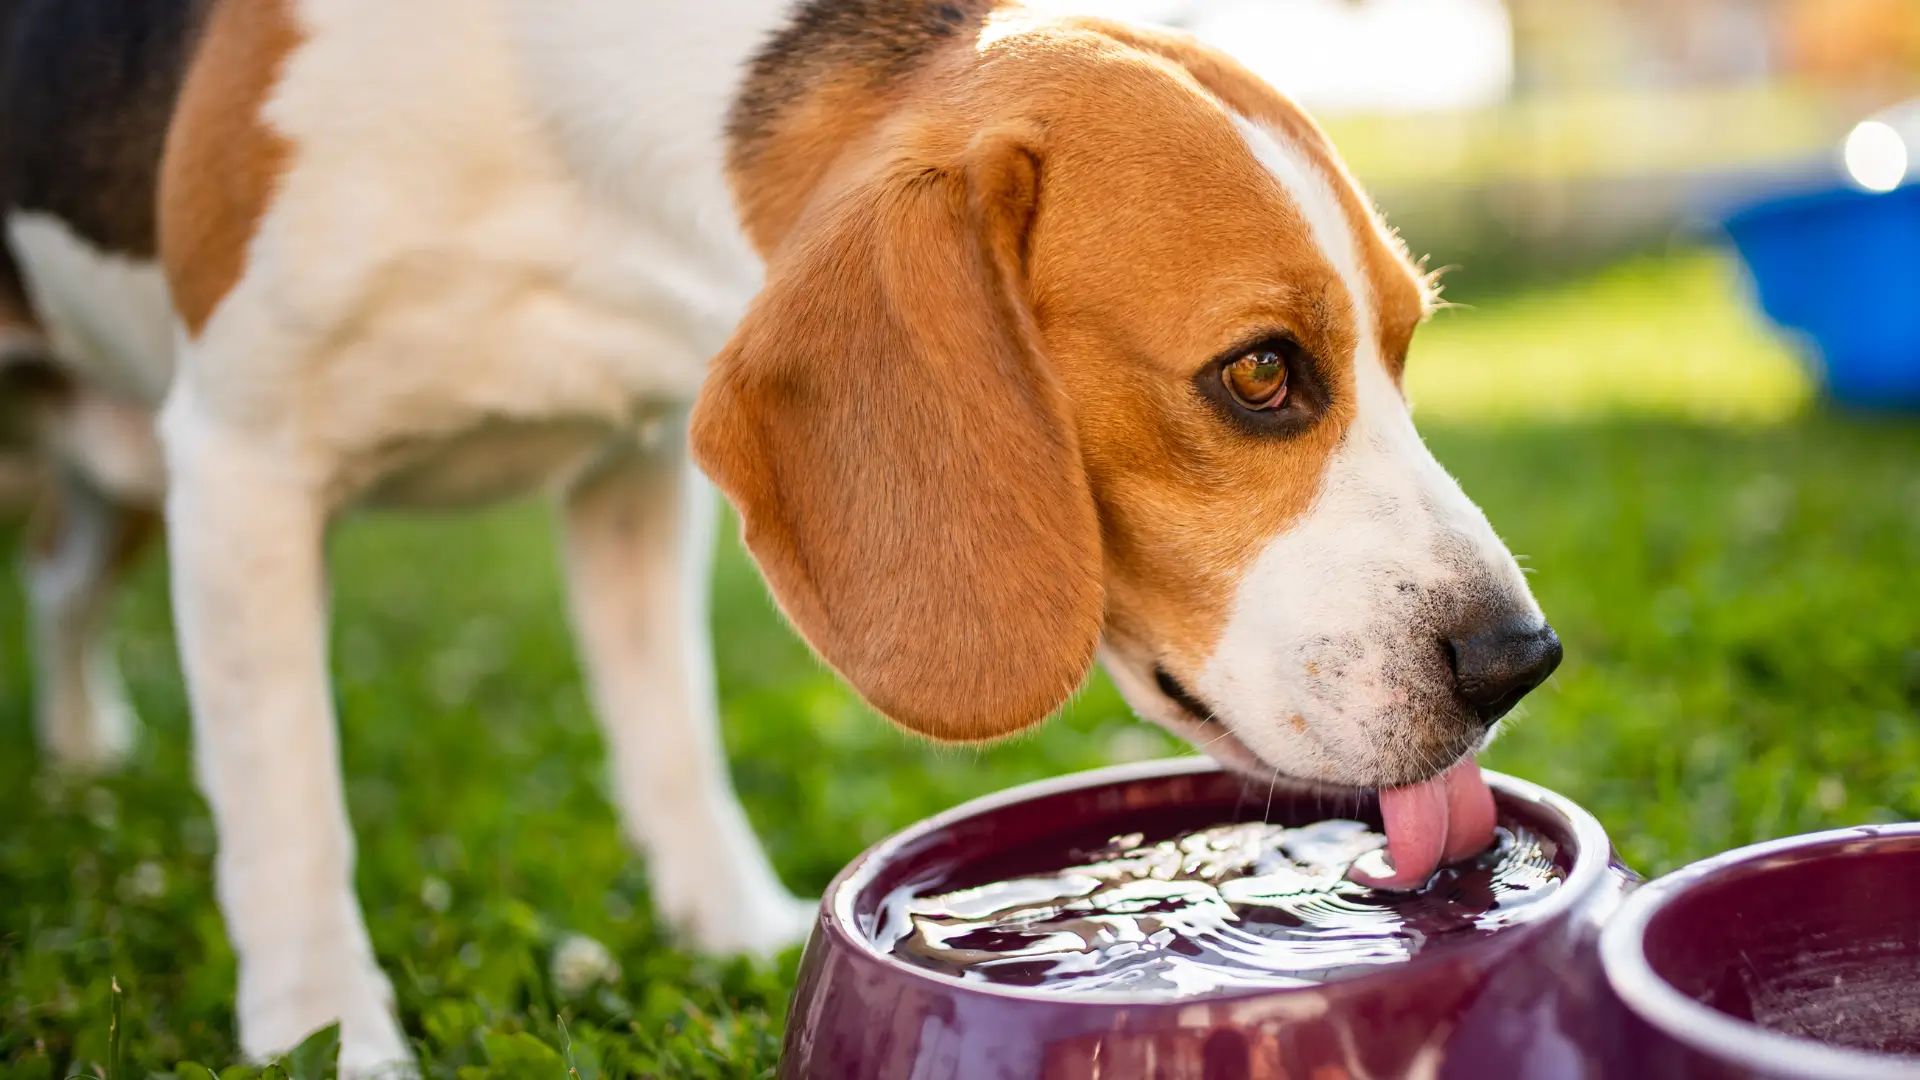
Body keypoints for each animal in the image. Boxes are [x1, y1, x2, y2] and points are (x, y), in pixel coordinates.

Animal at [0, 0, 1559, 1068]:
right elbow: (286, 808)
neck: (551, 140)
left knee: (64, 590)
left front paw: (732, 928)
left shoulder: (633, 466)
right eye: (1260, 374)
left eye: (1404, 346)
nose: (1518, 660)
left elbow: (671, 733)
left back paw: (80, 754)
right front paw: (327, 1032)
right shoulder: (245, 462)